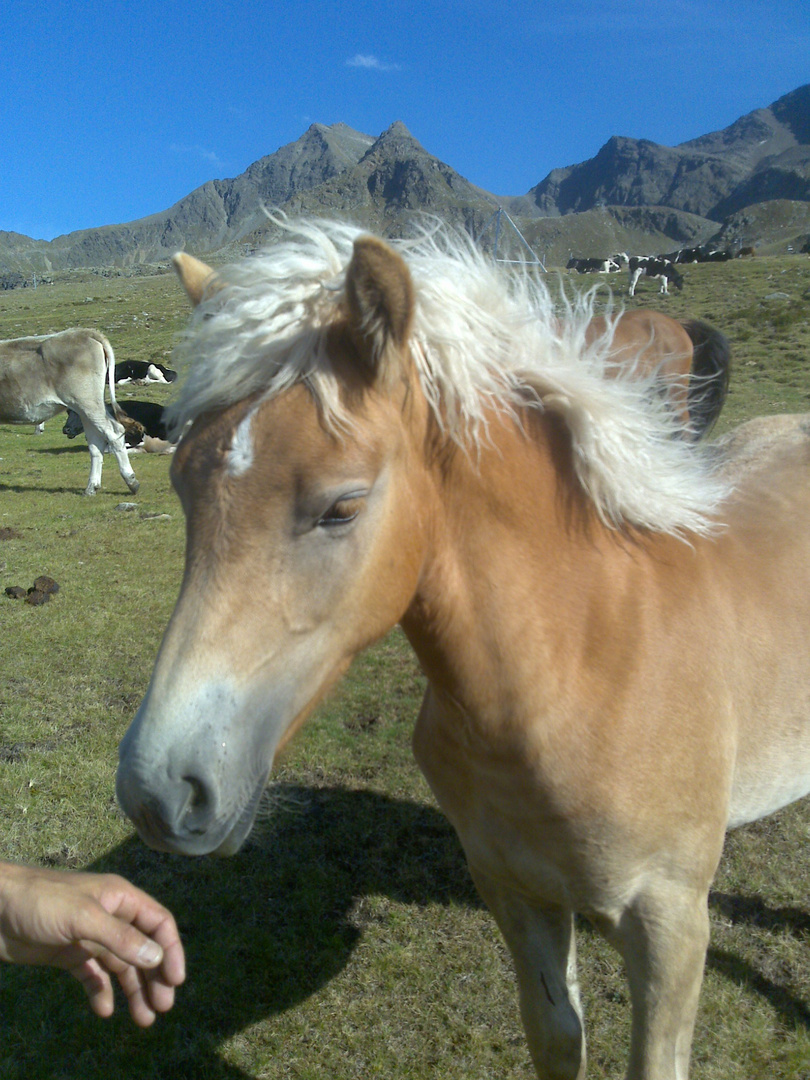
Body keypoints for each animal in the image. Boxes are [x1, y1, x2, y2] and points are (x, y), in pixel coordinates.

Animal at [0, 326, 139, 494]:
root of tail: (83, 332)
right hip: (88, 408)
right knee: (96, 441)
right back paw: (92, 487)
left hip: (87, 402)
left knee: (114, 432)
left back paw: (131, 481)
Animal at [117, 221, 810, 1080]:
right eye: (182, 483)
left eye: (342, 506)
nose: (158, 791)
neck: (581, 667)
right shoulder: (517, 892)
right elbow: (557, 1037)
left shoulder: (670, 924)